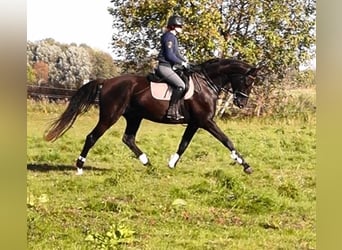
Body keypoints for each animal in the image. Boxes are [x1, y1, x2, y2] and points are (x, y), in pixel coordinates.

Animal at [44, 58, 260, 176]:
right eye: (248, 81)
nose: (241, 103)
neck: (206, 84)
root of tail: (107, 82)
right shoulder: (206, 121)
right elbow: (227, 141)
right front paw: (246, 166)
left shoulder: (195, 123)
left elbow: (183, 144)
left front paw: (171, 163)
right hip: (110, 116)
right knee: (92, 137)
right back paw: (80, 167)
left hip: (134, 117)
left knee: (128, 139)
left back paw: (147, 162)